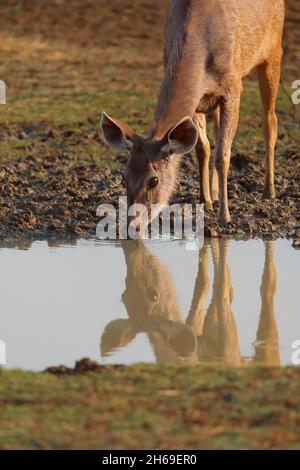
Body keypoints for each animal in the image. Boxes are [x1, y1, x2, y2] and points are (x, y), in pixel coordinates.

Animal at [100, 0, 284, 228]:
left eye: (153, 180)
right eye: (124, 177)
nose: (132, 225)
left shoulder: (233, 88)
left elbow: (223, 155)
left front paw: (225, 217)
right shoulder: (198, 100)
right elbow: (202, 148)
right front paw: (205, 201)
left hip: (273, 50)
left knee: (270, 121)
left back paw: (269, 191)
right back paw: (214, 192)